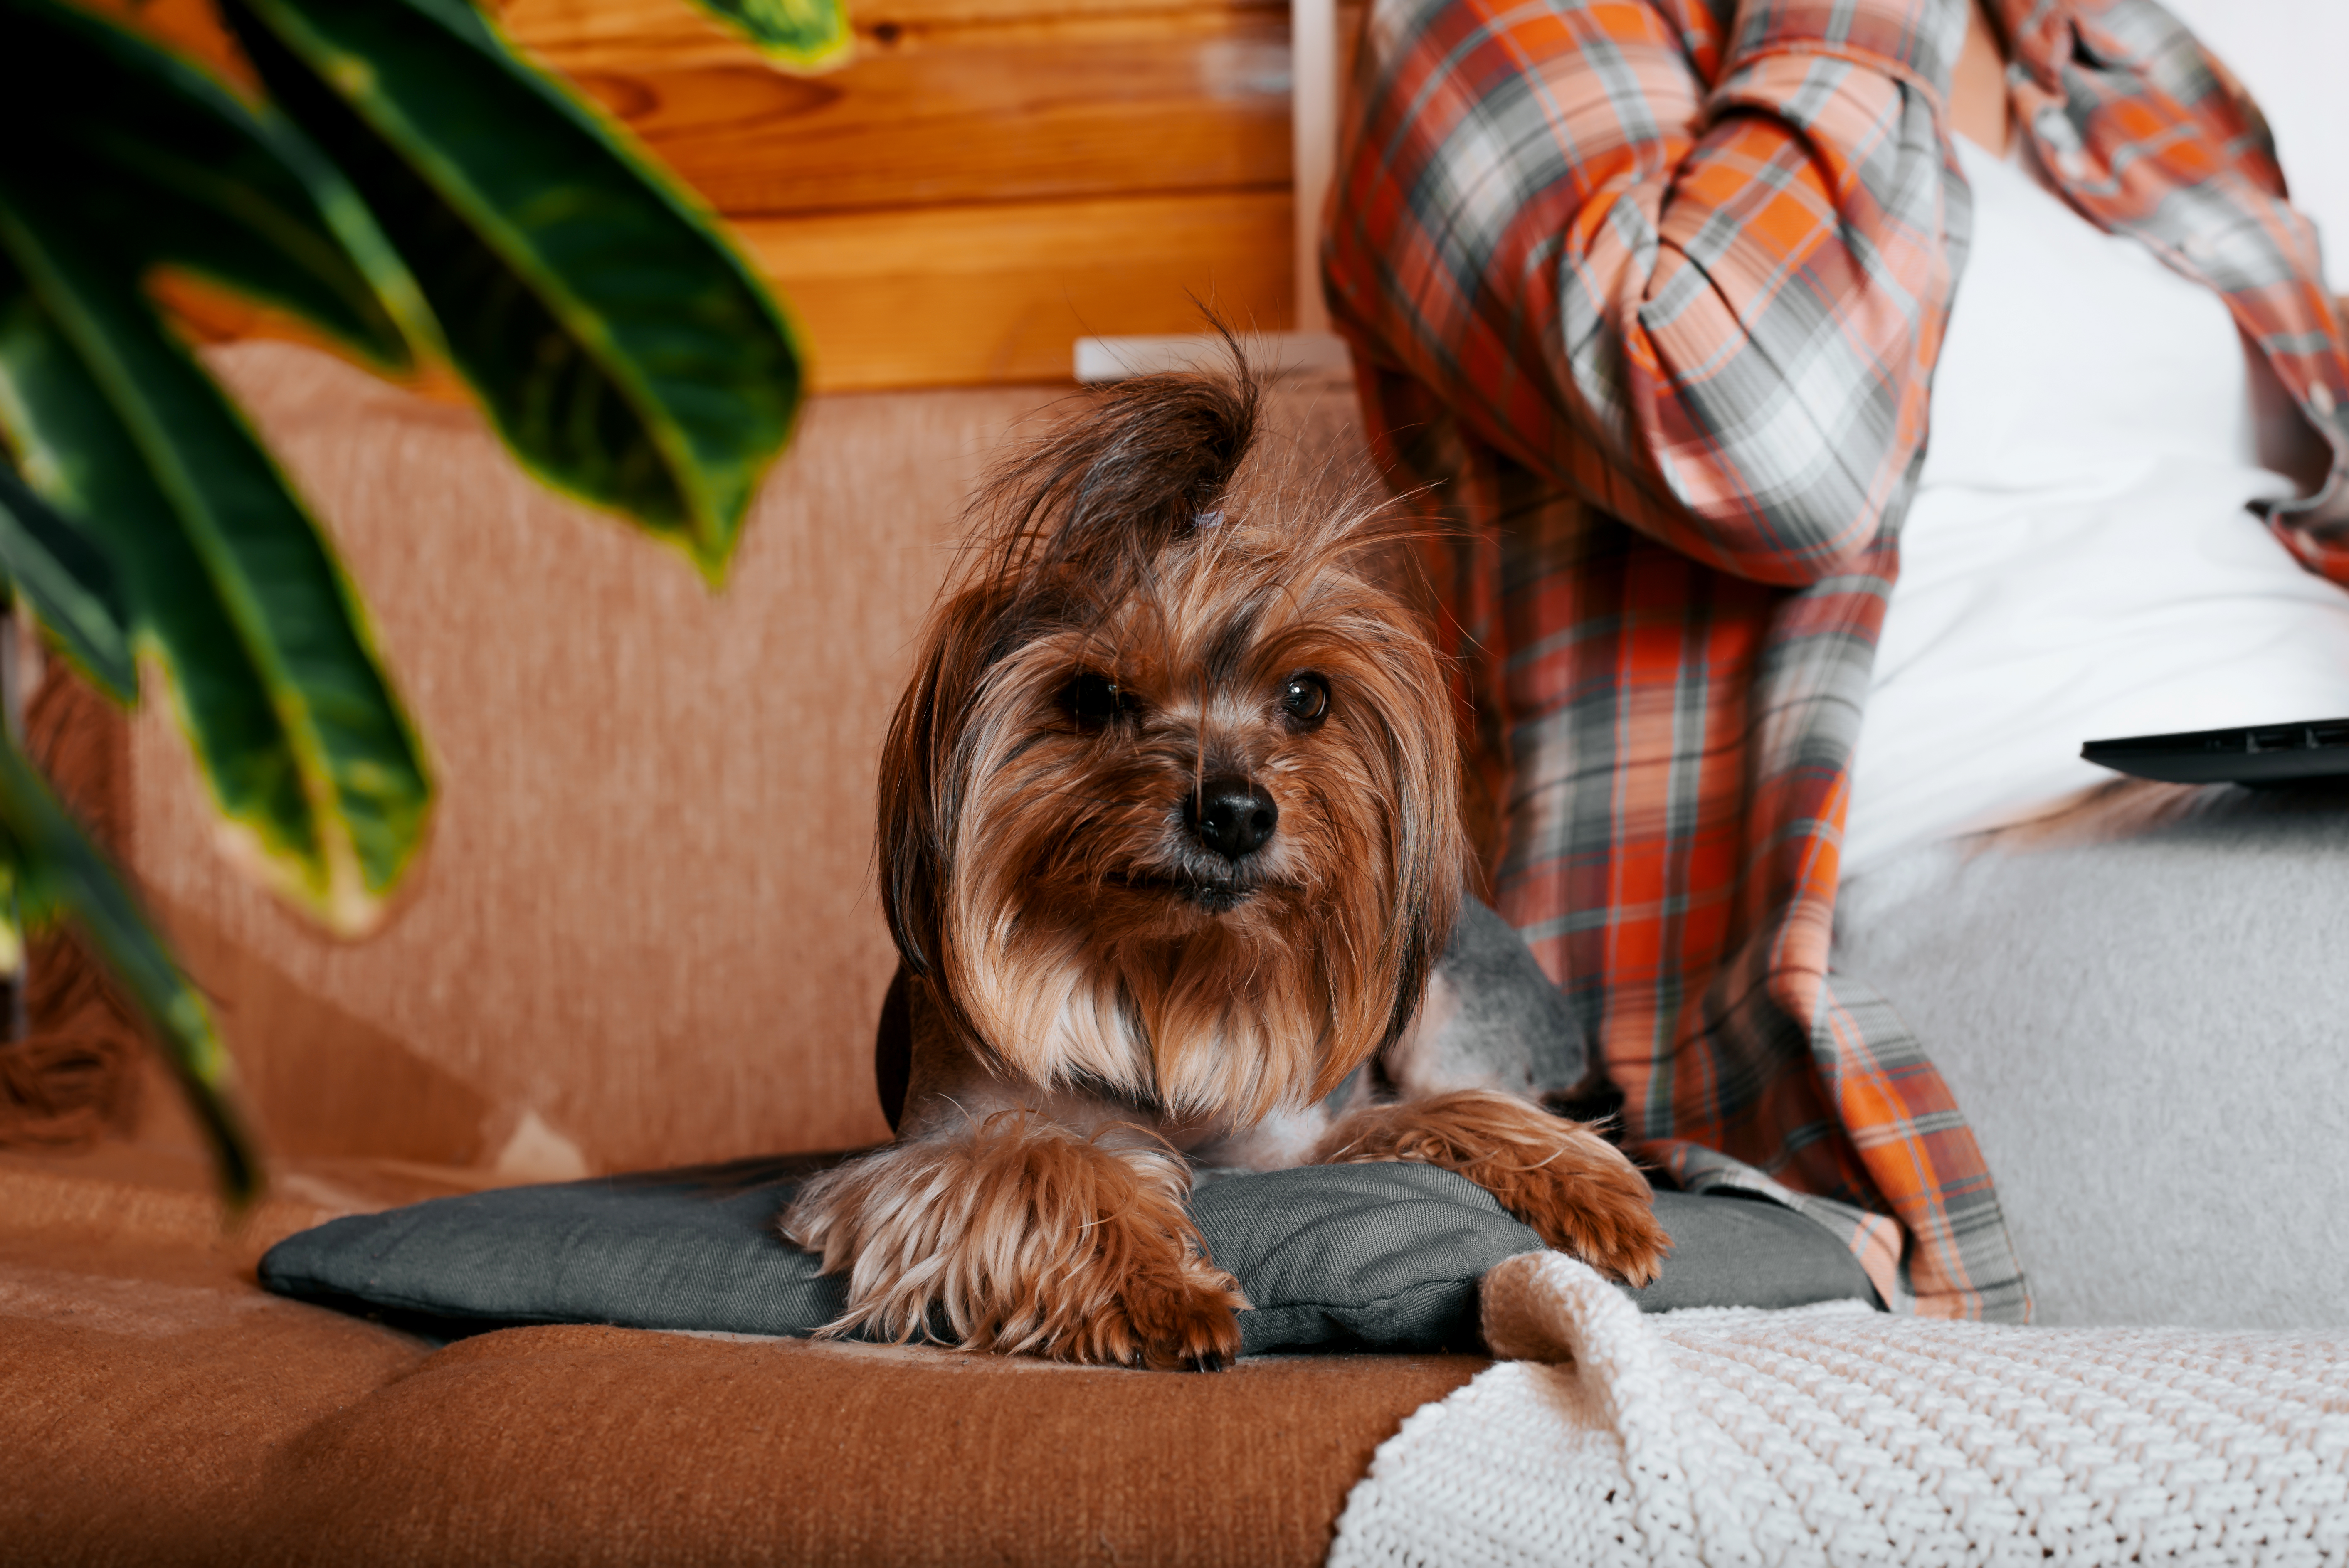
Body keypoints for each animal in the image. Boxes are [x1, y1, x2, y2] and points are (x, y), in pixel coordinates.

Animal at [789, 361, 1672, 1361]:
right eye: (1091, 697)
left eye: (1307, 695)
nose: (1237, 814)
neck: (1168, 973)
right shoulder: (938, 1147)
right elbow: (1039, 1159)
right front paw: (1158, 1287)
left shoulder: (1295, 1142)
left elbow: (1431, 1115)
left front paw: (1586, 1190)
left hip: (1450, 1011)